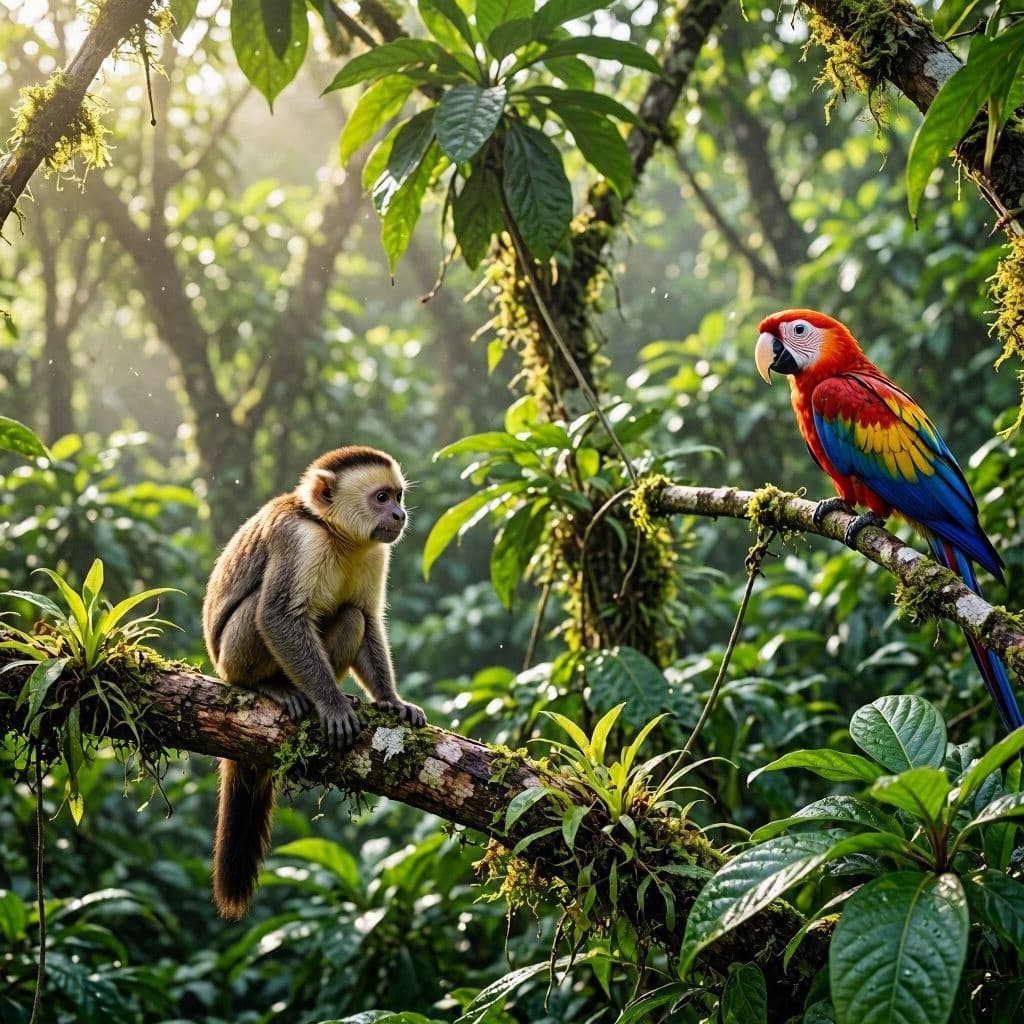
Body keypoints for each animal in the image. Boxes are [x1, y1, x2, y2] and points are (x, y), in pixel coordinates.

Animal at [202, 445, 425, 920]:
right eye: (382, 497)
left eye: (397, 496)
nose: (399, 514)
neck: (336, 533)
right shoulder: (298, 539)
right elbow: (277, 616)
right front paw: (333, 706)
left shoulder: (376, 552)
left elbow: (368, 619)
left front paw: (391, 700)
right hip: (229, 660)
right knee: (263, 611)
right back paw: (271, 688)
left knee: (351, 616)